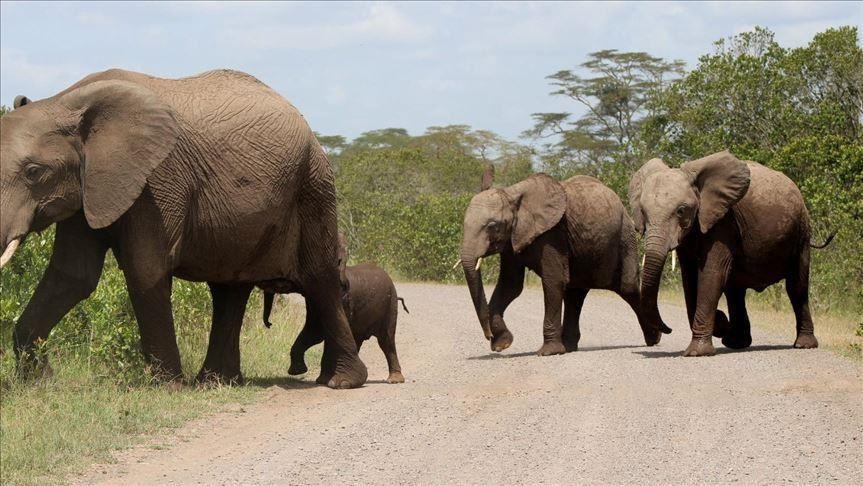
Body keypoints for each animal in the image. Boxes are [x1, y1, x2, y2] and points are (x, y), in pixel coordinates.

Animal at [0, 68, 367, 388]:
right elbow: (72, 276)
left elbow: (145, 270)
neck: (64, 101)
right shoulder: (88, 188)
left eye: (34, 172)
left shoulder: (157, 181)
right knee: (229, 288)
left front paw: (168, 388)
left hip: (314, 186)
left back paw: (342, 382)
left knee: (319, 278)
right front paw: (41, 382)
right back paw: (217, 382)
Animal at [263, 263, 408, 384]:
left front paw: (327, 381)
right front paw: (301, 373)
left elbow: (325, 335)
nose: (269, 324)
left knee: (386, 340)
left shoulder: (342, 301)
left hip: (390, 305)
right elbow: (314, 333)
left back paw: (394, 380)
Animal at [459, 171, 670, 356]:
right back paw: (569, 347)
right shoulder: (512, 241)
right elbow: (510, 286)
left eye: (492, 226)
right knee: (575, 293)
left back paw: (654, 339)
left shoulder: (553, 234)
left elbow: (553, 281)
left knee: (627, 287)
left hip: (625, 237)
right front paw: (502, 345)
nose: (488, 337)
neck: (513, 193)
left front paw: (548, 353)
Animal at [629, 150, 829, 356]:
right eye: (643, 212)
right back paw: (736, 342)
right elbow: (690, 279)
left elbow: (711, 274)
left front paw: (698, 351)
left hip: (802, 232)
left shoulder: (723, 222)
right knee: (735, 290)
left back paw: (804, 345)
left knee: (796, 286)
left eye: (681, 211)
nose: (668, 329)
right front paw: (721, 326)